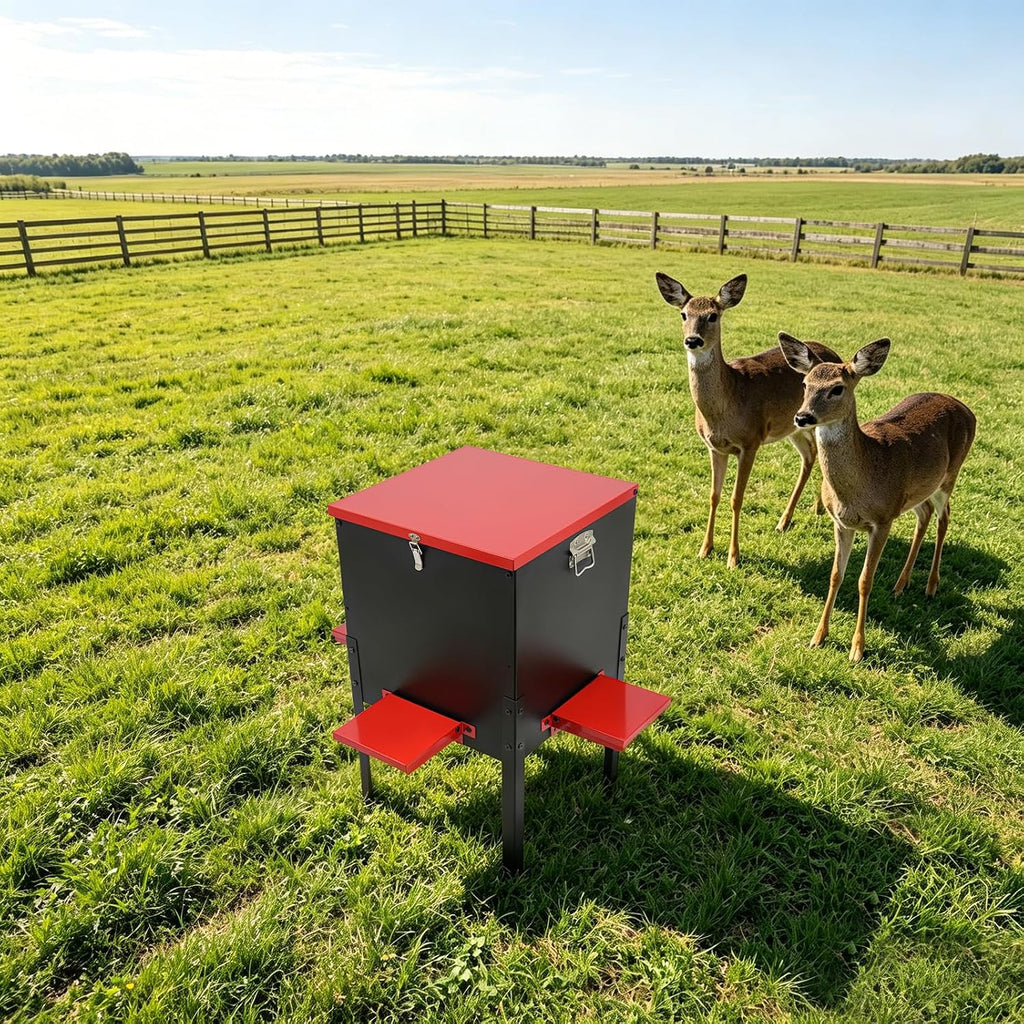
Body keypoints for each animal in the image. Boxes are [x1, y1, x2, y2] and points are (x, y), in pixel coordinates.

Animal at [655, 272, 842, 567]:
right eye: (684, 314)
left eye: (713, 315)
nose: (693, 340)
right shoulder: (714, 446)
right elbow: (714, 495)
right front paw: (705, 549)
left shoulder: (750, 441)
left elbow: (737, 498)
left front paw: (733, 557)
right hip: (793, 427)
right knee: (810, 454)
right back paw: (802, 514)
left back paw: (793, 517)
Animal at [778, 332, 977, 663]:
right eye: (804, 384)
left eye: (837, 388)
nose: (803, 416)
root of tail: (966, 408)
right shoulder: (842, 522)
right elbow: (836, 575)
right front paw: (818, 637)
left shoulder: (882, 520)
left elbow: (864, 580)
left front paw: (857, 649)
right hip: (916, 493)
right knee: (924, 514)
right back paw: (900, 584)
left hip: (950, 475)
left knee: (944, 517)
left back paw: (931, 586)